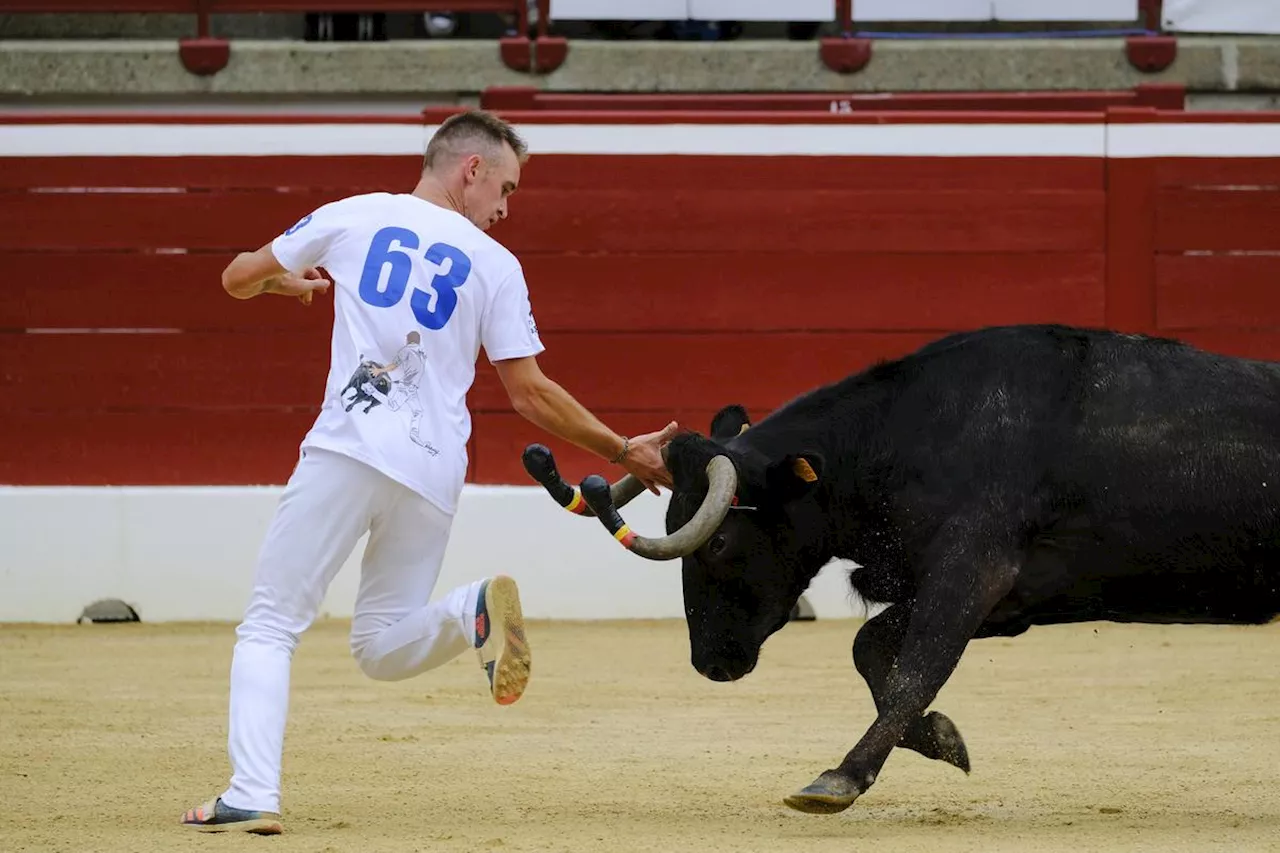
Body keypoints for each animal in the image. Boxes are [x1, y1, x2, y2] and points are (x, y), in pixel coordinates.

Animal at [519, 324, 1280, 809]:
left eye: (721, 544)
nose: (711, 663)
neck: (915, 435)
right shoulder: (997, 598)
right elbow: (871, 649)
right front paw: (941, 739)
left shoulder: (971, 571)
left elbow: (914, 668)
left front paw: (839, 779)